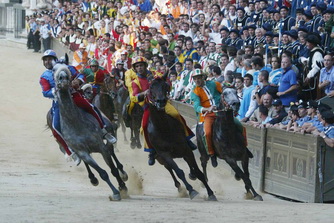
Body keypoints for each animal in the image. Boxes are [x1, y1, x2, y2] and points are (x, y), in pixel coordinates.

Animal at [49, 63, 128, 201]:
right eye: (54, 70)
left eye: (67, 69)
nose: (63, 78)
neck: (75, 123)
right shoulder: (82, 152)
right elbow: (103, 173)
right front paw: (115, 192)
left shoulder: (100, 146)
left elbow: (112, 168)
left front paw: (122, 187)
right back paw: (93, 178)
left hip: (108, 131)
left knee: (111, 149)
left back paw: (122, 173)